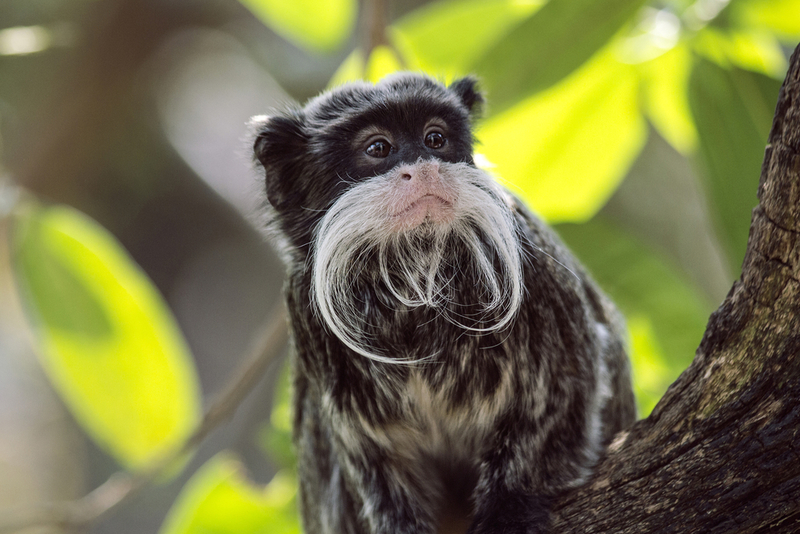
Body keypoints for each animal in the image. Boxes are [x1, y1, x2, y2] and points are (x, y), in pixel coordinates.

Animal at [252, 72, 636, 534]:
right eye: (378, 148)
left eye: (435, 139)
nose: (425, 167)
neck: (413, 277)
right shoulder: (305, 308)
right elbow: (376, 459)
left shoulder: (534, 268)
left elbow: (566, 386)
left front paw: (507, 506)